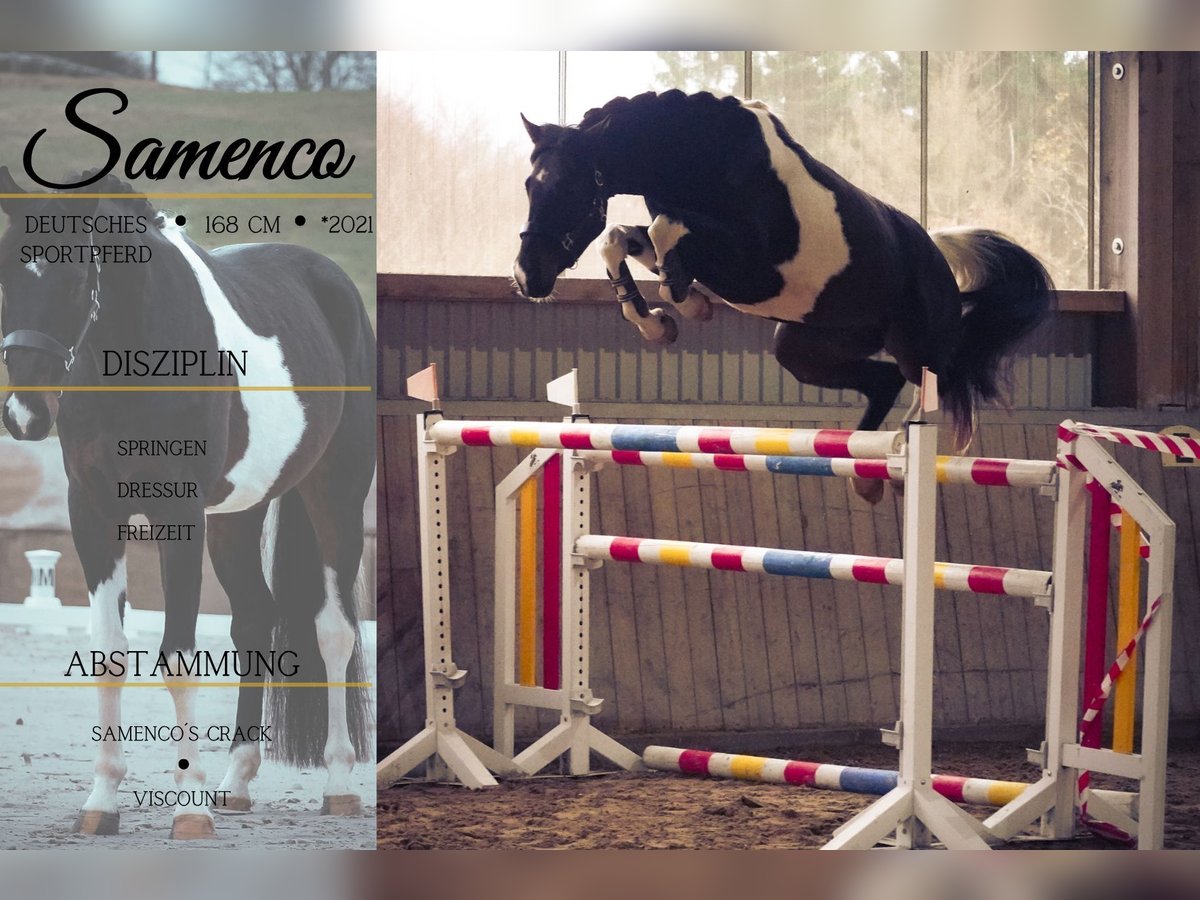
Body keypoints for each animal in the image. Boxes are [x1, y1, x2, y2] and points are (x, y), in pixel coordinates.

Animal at [0, 168, 374, 839]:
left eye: (77, 279)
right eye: (5, 274)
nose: (25, 414)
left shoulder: (178, 516)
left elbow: (178, 658)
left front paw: (189, 807)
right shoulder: (93, 513)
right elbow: (109, 656)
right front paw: (102, 802)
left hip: (335, 493)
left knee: (333, 631)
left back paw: (338, 786)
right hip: (235, 518)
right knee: (255, 618)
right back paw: (237, 782)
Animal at [513, 90, 1052, 501]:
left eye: (568, 189)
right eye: (529, 185)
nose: (526, 277)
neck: (697, 156)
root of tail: (938, 260)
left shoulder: (752, 263)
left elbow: (667, 229)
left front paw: (683, 300)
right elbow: (622, 238)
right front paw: (663, 319)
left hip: (914, 344)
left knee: (927, 386)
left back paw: (900, 450)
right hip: (802, 349)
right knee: (882, 382)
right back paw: (867, 476)